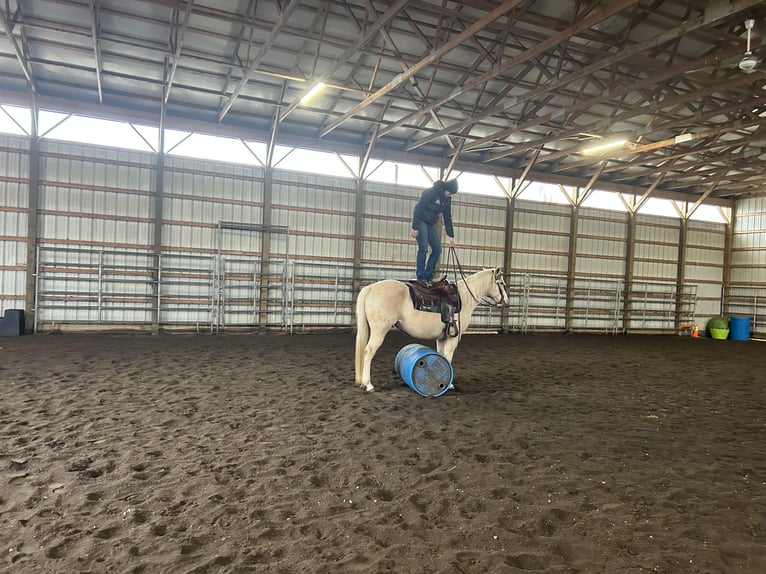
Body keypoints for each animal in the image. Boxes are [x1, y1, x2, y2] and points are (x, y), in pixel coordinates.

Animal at [354, 268, 510, 394]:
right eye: (501, 283)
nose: (506, 301)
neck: (464, 298)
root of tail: (371, 287)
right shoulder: (453, 338)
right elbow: (448, 357)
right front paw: (450, 385)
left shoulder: (442, 338)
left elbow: (442, 356)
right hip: (379, 330)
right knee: (368, 351)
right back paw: (368, 385)